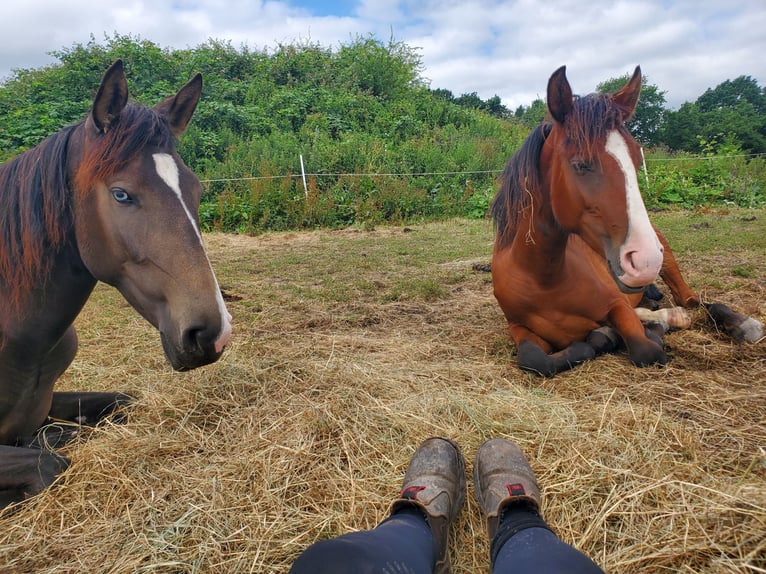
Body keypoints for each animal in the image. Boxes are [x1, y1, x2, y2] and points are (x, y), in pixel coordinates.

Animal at [0, 60, 232, 507]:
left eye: (196, 190)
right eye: (122, 194)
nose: (213, 333)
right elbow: (48, 463)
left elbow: (125, 402)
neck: (21, 342)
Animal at [490, 65, 763, 377]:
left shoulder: (617, 306)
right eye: (580, 164)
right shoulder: (518, 328)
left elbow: (646, 349)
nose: (645, 259)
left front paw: (641, 330)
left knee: (695, 301)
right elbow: (535, 360)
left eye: (636, 159)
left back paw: (737, 323)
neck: (543, 279)